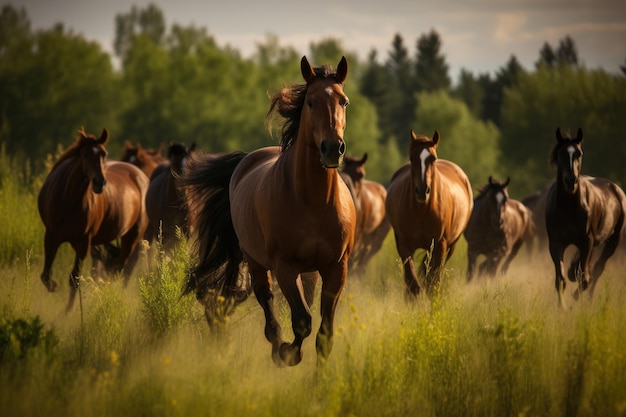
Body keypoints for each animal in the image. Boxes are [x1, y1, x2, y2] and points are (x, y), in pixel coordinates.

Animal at [37, 128, 149, 310]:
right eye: (84, 154)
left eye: (104, 153)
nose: (99, 182)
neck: (68, 201)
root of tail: (141, 176)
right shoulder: (51, 236)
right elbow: (46, 274)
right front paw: (53, 286)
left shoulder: (83, 243)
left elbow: (74, 279)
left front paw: (67, 312)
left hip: (131, 237)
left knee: (121, 270)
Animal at [183, 57, 354, 366]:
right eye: (310, 102)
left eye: (343, 101)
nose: (333, 148)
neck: (314, 203)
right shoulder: (285, 267)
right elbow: (302, 321)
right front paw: (288, 353)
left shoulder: (337, 267)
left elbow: (324, 334)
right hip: (256, 261)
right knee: (267, 299)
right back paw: (277, 347)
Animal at [382, 130, 470, 296]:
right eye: (412, 157)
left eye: (433, 159)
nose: (423, 190)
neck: (421, 211)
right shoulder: (404, 245)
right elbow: (412, 283)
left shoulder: (440, 245)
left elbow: (432, 283)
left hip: (451, 246)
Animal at [540, 128, 624, 308]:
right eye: (560, 153)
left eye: (579, 153)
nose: (571, 180)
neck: (568, 207)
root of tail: (616, 188)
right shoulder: (556, 243)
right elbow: (561, 279)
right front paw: (562, 307)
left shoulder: (587, 241)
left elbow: (585, 278)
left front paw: (574, 302)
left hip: (613, 241)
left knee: (597, 269)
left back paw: (589, 299)